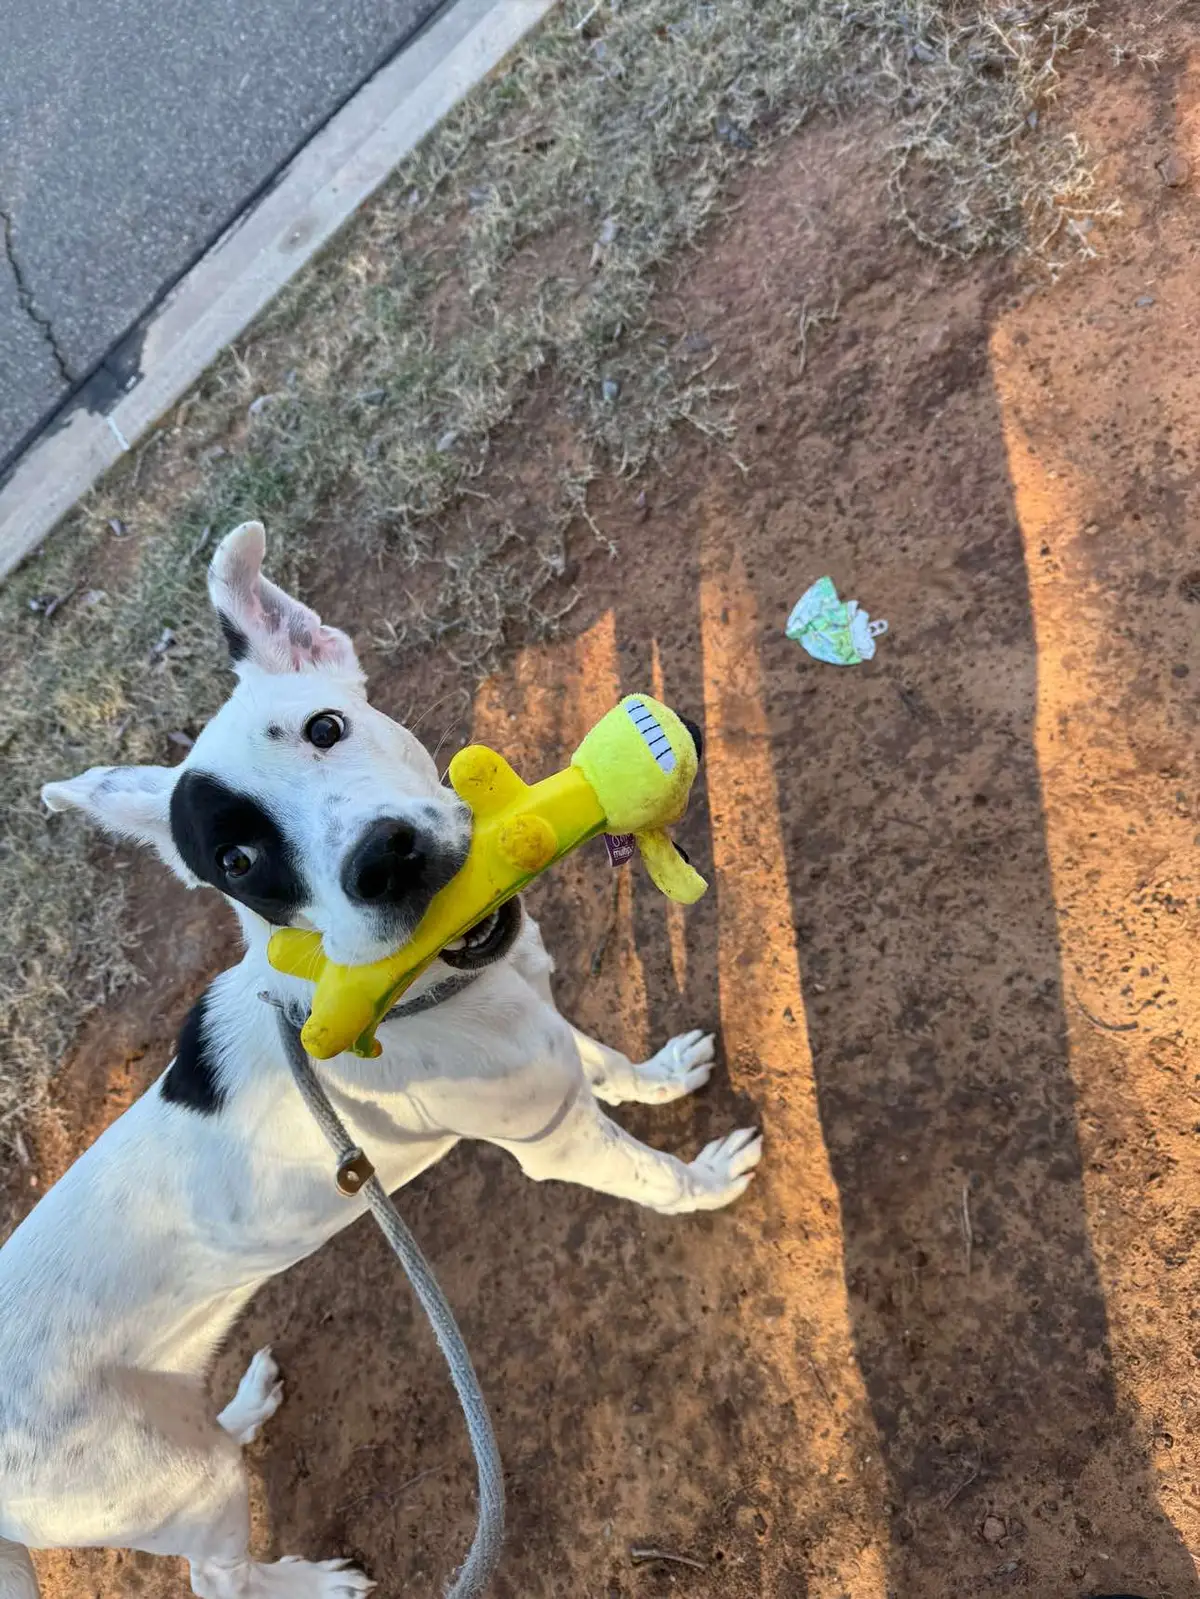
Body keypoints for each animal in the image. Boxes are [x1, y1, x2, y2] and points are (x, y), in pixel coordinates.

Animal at [0, 524, 764, 1599]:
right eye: (236, 862)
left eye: (326, 726)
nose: (384, 857)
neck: (433, 996)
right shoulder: (555, 1141)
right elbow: (654, 1176)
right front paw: (705, 1177)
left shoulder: (542, 1032)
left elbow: (607, 1060)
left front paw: (659, 1072)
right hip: (160, 1482)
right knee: (217, 1576)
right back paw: (315, 1581)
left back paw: (244, 1408)